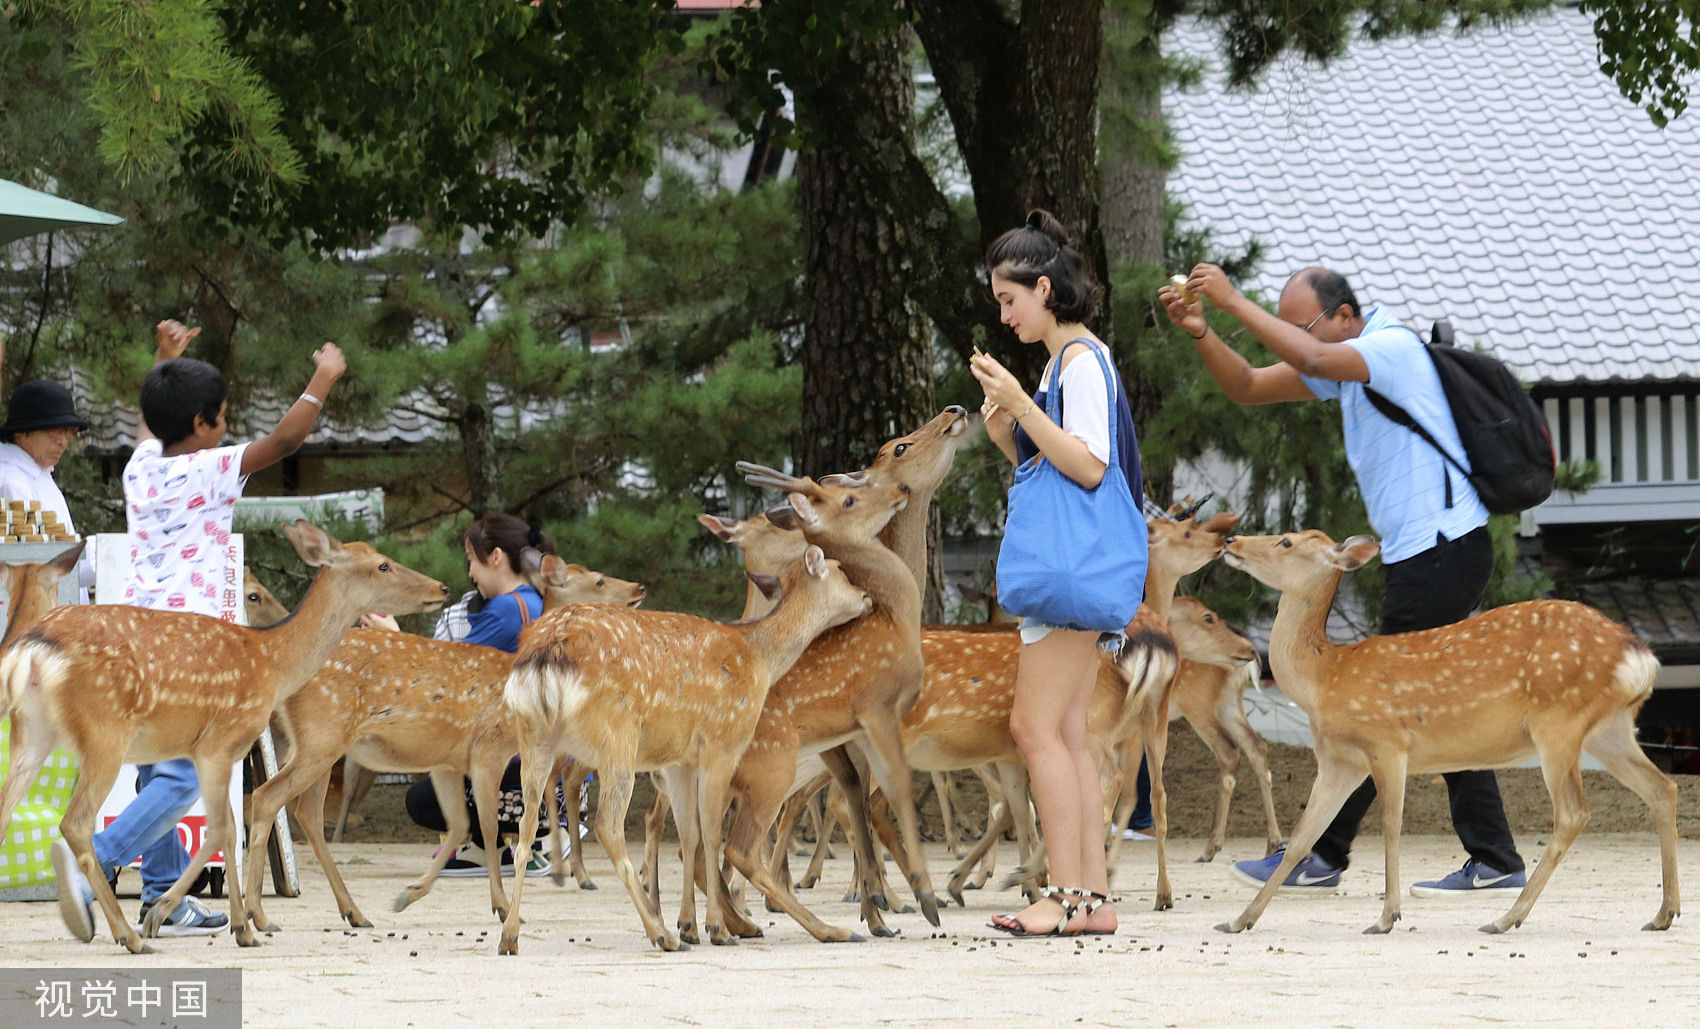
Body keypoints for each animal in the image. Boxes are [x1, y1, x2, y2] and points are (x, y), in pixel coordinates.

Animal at [0, 517, 445, 952]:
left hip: (32, 732)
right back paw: (128, 934)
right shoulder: (221, 741)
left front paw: (181, 914)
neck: (273, 663)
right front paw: (242, 928)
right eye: (383, 565)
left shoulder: (204, 751)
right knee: (75, 823)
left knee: (6, 810)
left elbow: (221, 827)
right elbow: (229, 829)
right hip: (103, 732)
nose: (440, 587)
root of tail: (31, 648)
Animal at [236, 554, 639, 932]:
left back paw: (352, 912)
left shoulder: (447, 762)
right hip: (322, 736)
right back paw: (261, 914)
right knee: (268, 798)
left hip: (320, 743)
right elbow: (489, 826)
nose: (638, 588)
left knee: (306, 813)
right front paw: (503, 908)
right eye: (599, 581)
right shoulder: (489, 748)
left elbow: (460, 825)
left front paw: (409, 894)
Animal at [496, 534, 884, 952]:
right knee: (608, 826)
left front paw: (692, 926)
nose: (867, 597)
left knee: (525, 827)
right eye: (842, 571)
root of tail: (547, 652)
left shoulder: (680, 761)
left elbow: (690, 833)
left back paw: (510, 935)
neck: (761, 658)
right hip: (617, 734)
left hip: (534, 736)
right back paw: (661, 933)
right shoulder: (722, 741)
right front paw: (715, 928)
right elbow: (712, 834)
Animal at [1217, 534, 1679, 932]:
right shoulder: (1339, 761)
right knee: (1663, 788)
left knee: (1573, 812)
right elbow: (1302, 836)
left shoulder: (1387, 743)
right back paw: (1664, 913)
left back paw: (1507, 918)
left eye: (1286, 540)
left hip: (1558, 721)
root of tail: (1640, 655)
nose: (1230, 541)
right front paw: (1240, 920)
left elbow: (1390, 824)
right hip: (1609, 728)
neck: (1324, 678)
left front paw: (1387, 917)